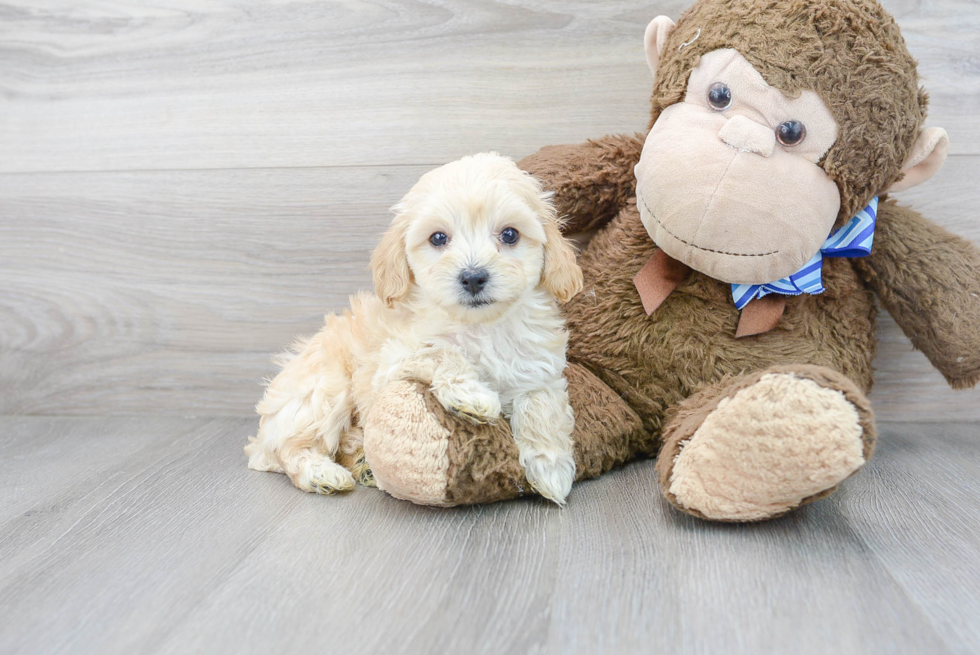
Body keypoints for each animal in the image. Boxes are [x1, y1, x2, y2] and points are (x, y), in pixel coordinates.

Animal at [247, 154, 580, 508]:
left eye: (510, 234)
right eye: (438, 238)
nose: (473, 277)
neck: (481, 326)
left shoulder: (541, 368)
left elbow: (541, 404)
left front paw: (551, 469)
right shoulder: (392, 360)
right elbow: (441, 351)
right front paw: (471, 395)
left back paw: (363, 464)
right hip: (322, 389)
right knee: (290, 448)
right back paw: (322, 473)